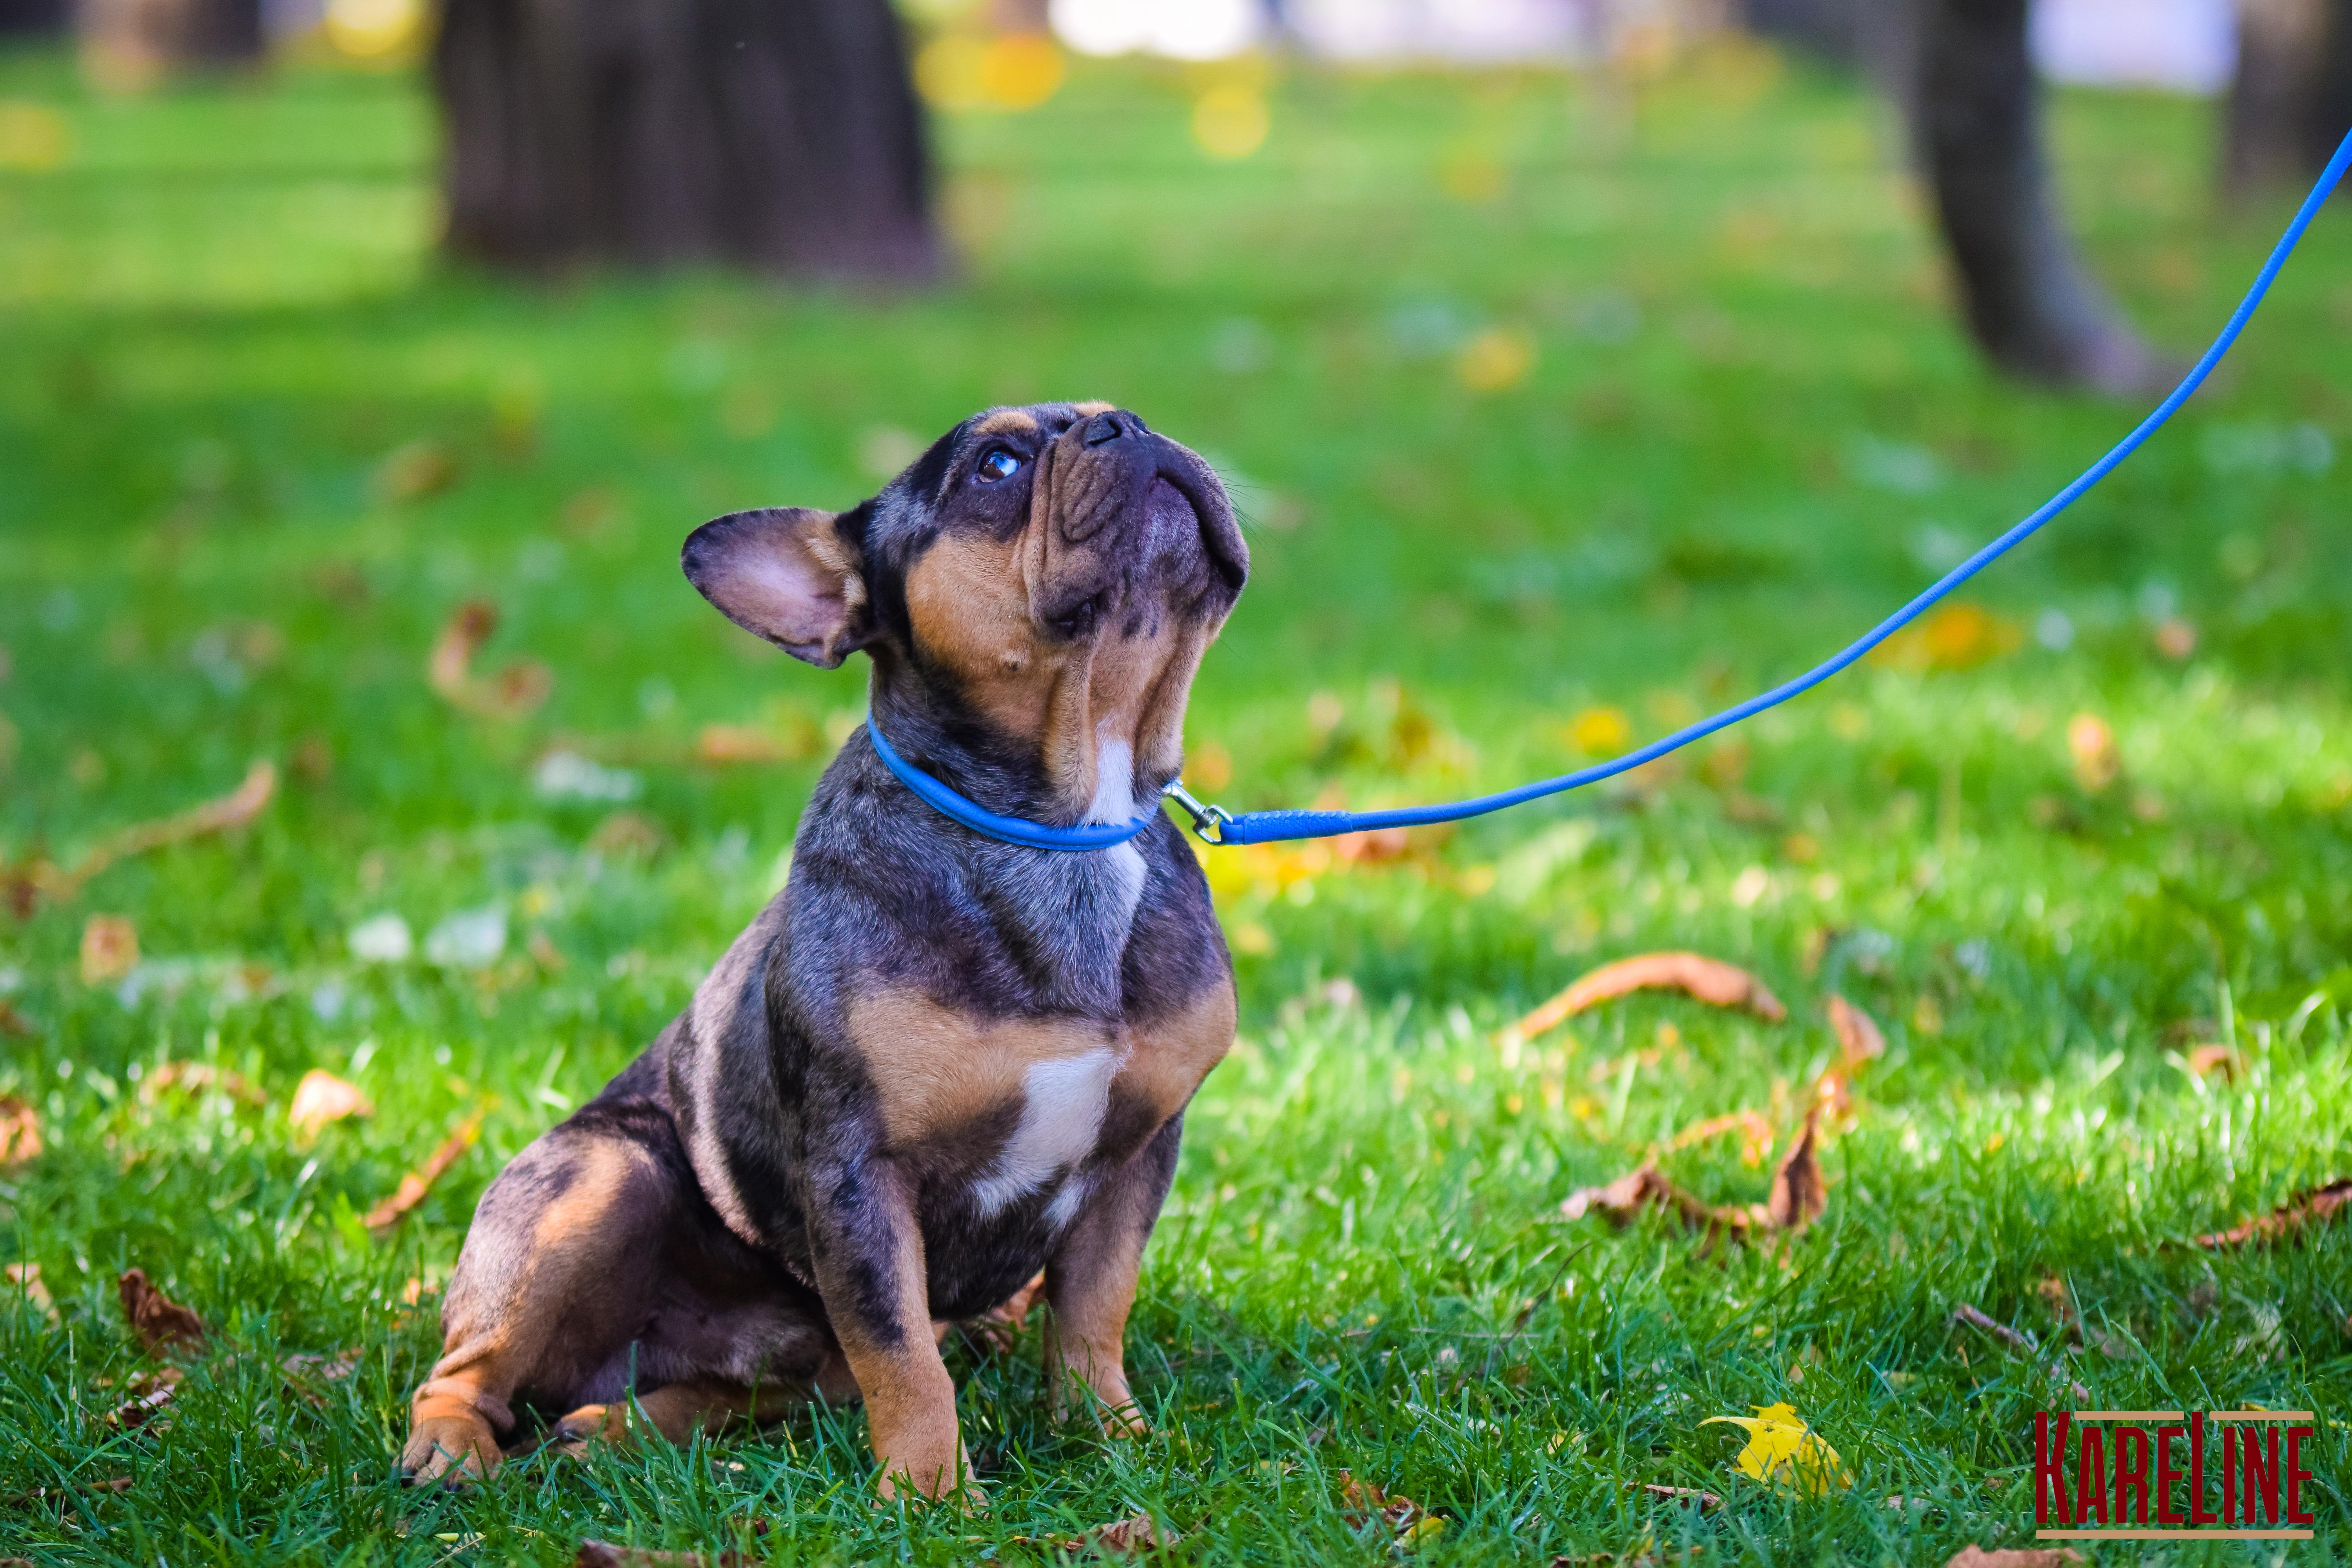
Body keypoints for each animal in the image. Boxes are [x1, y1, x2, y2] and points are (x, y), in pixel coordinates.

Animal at [400, 402, 1251, 1495]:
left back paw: (618, 1430)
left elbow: (1093, 1313)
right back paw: (452, 1447)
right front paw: (934, 1495)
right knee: (472, 1367)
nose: (1124, 425)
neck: (1066, 825)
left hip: (776, 1352)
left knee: (758, 1390)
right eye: (997, 463)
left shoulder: (1137, 1153)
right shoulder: (859, 1174)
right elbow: (903, 1351)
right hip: (594, 1182)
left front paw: (1111, 1439)